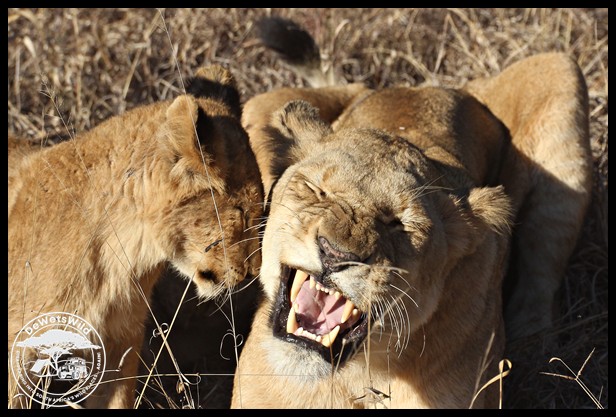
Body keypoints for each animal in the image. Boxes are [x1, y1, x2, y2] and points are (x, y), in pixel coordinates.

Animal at [230, 18, 592, 408]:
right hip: (258, 105)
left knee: (539, 284)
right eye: (317, 191)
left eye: (401, 225)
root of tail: (417, 85)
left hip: (559, 71)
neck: (356, 373)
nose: (335, 254)